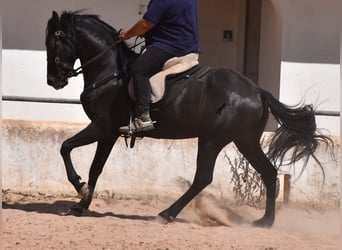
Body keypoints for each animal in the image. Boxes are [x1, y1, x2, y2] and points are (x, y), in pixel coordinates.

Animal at [45, 10, 332, 228]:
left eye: (53, 41)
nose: (53, 81)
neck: (110, 71)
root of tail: (257, 91)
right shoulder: (110, 133)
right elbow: (92, 165)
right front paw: (82, 203)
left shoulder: (103, 127)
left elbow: (67, 149)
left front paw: (80, 190)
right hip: (244, 140)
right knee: (269, 172)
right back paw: (264, 222)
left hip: (212, 139)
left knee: (203, 177)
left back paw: (166, 214)